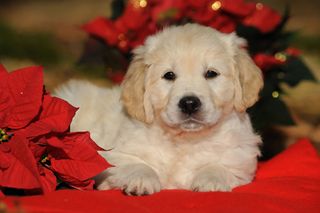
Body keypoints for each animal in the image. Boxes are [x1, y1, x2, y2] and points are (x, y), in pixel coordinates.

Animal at [55, 23, 262, 195]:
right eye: (169, 75)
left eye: (211, 73)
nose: (189, 103)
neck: (184, 141)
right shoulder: (113, 155)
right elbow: (137, 164)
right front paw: (141, 181)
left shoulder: (240, 160)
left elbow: (220, 166)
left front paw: (211, 181)